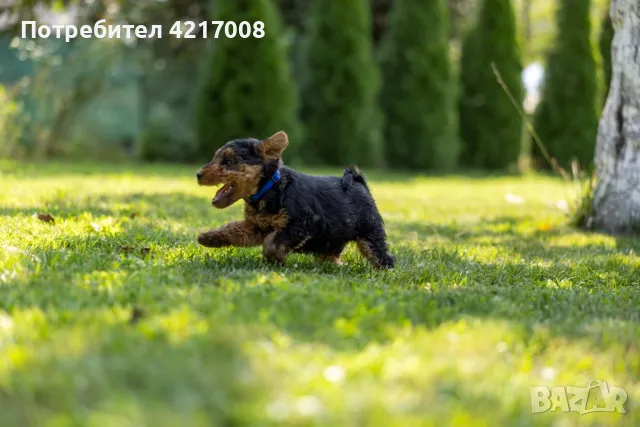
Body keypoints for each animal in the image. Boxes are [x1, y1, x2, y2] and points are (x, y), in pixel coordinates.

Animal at [195, 132, 396, 270]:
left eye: (228, 161)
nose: (198, 174)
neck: (270, 188)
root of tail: (358, 181)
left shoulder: (302, 222)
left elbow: (271, 242)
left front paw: (274, 261)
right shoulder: (256, 225)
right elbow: (234, 229)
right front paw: (209, 237)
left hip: (370, 233)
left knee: (382, 256)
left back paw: (385, 273)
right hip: (333, 239)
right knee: (333, 255)